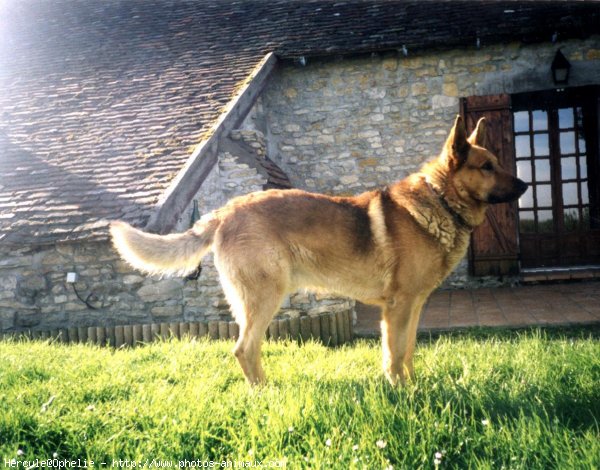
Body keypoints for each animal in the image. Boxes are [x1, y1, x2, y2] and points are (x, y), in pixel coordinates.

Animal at [110, 116, 528, 386]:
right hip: (265, 298)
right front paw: (402, 394)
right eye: (487, 167)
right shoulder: (398, 307)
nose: (525, 186)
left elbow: (407, 352)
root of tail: (227, 210)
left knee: (248, 349)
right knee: (244, 349)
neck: (440, 200)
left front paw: (413, 388)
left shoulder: (414, 306)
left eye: (497, 162)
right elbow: (394, 355)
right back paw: (265, 395)